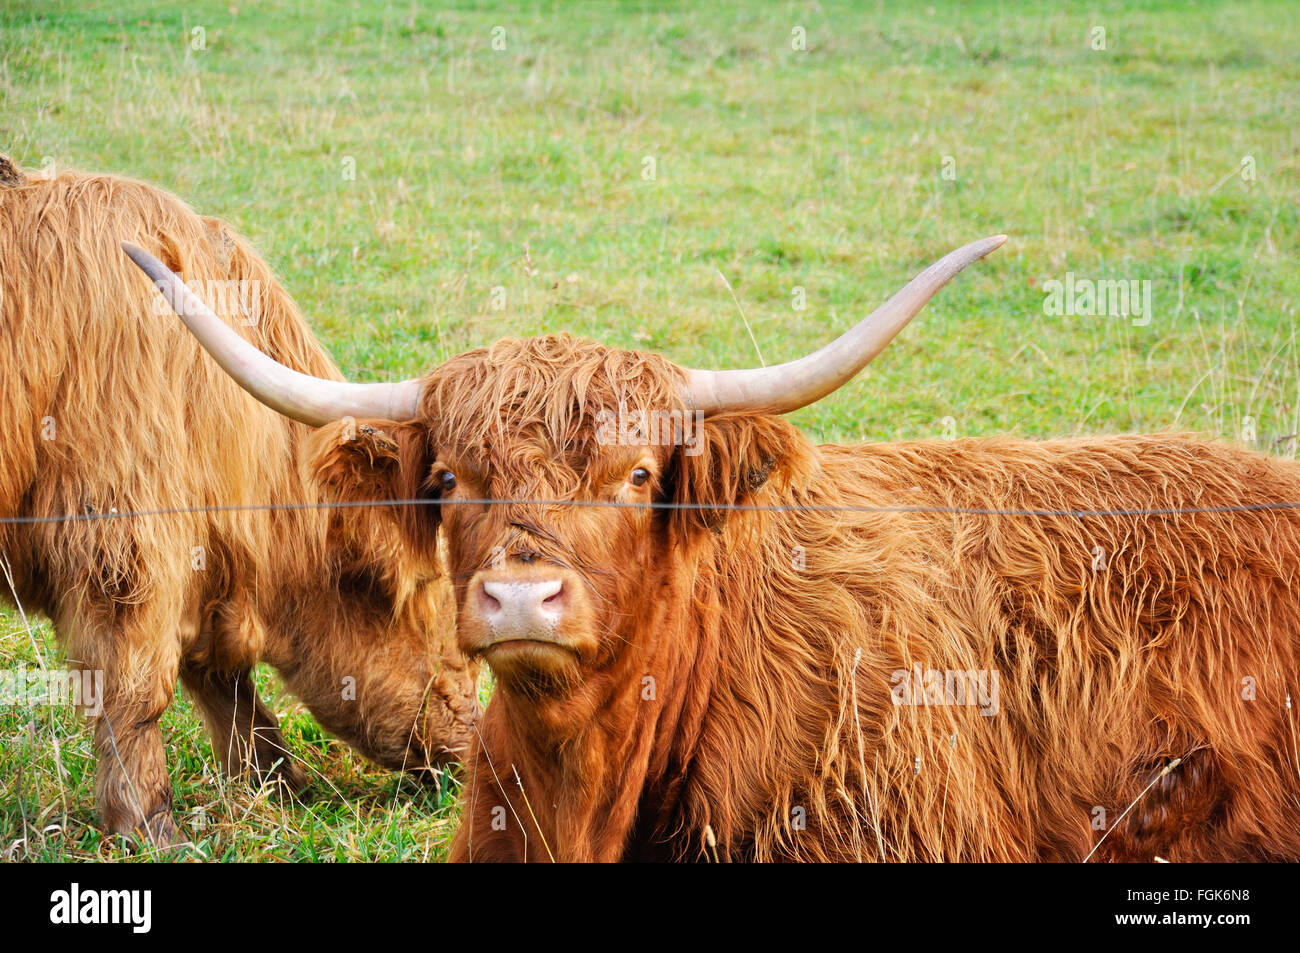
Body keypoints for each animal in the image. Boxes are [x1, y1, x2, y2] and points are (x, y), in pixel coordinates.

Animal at [0, 156, 480, 847]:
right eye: (432, 595)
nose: (474, 746)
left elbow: (224, 681)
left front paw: (281, 782)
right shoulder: (122, 545)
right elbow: (139, 687)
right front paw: (150, 825)